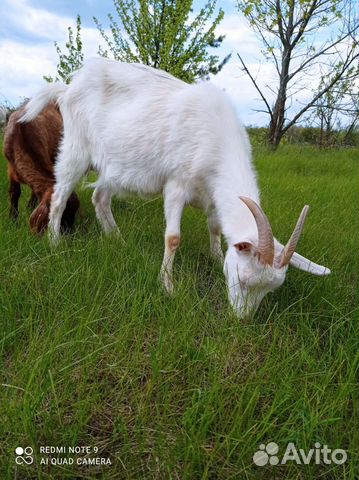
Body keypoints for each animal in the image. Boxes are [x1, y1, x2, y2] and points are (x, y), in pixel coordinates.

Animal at [2, 103, 79, 234]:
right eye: (59, 216)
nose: (69, 234)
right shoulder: (11, 167)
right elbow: (14, 192)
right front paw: (13, 220)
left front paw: (30, 207)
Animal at [19, 57, 330, 318]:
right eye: (244, 279)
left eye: (268, 290)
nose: (242, 319)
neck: (217, 138)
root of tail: (68, 88)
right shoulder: (177, 185)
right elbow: (173, 238)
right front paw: (168, 286)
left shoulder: (212, 195)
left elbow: (215, 228)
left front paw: (216, 259)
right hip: (76, 149)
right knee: (60, 196)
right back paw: (55, 243)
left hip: (114, 164)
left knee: (100, 197)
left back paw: (118, 240)